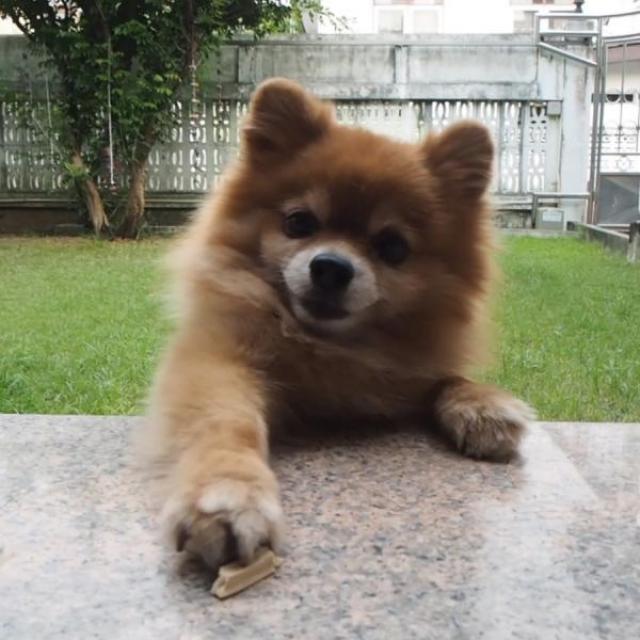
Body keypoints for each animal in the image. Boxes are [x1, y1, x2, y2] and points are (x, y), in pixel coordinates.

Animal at [141, 76, 536, 568]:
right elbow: (224, 424)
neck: (325, 348)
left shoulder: (405, 369)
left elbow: (446, 378)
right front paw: (228, 496)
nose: (331, 267)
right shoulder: (217, 363)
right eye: (299, 222)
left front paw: (481, 405)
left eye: (392, 247)